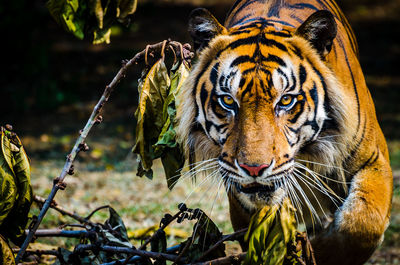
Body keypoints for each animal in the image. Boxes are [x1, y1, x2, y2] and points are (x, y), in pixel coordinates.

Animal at [176, 0, 394, 264]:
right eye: (228, 101)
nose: (253, 169)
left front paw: (315, 250)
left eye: (286, 100)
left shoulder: (374, 159)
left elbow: (363, 223)